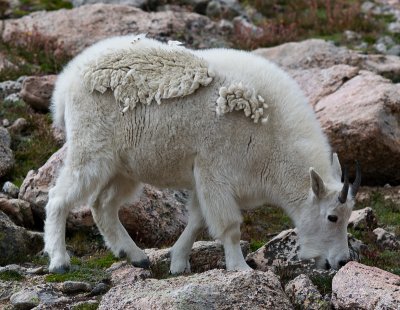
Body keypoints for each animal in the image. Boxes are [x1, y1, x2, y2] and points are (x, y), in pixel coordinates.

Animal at [44, 32, 362, 272]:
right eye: (332, 217)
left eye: (348, 216)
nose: (340, 261)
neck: (273, 140)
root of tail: (67, 81)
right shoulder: (214, 171)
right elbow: (229, 225)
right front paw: (240, 268)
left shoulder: (203, 178)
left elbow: (197, 220)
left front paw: (178, 263)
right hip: (91, 151)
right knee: (59, 197)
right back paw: (60, 261)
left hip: (124, 167)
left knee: (103, 204)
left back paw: (135, 256)